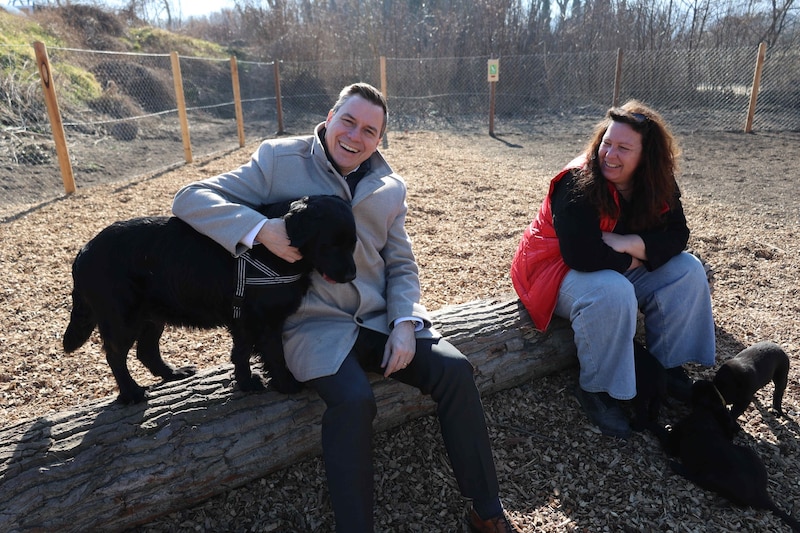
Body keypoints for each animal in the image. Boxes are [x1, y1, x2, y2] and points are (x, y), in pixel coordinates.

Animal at [64, 195, 358, 404]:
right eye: (330, 245)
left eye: (352, 243)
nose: (352, 275)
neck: (269, 252)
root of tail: (84, 250)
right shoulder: (262, 320)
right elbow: (274, 353)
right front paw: (285, 384)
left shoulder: (244, 320)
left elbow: (241, 352)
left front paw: (246, 382)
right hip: (123, 317)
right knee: (115, 355)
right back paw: (132, 393)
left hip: (152, 315)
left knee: (145, 351)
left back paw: (173, 373)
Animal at [656, 380, 800, 528]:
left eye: (697, 390)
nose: (698, 381)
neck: (709, 411)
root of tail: (762, 495)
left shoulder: (674, 440)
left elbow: (660, 432)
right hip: (749, 453)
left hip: (710, 477)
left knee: (697, 478)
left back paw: (676, 466)